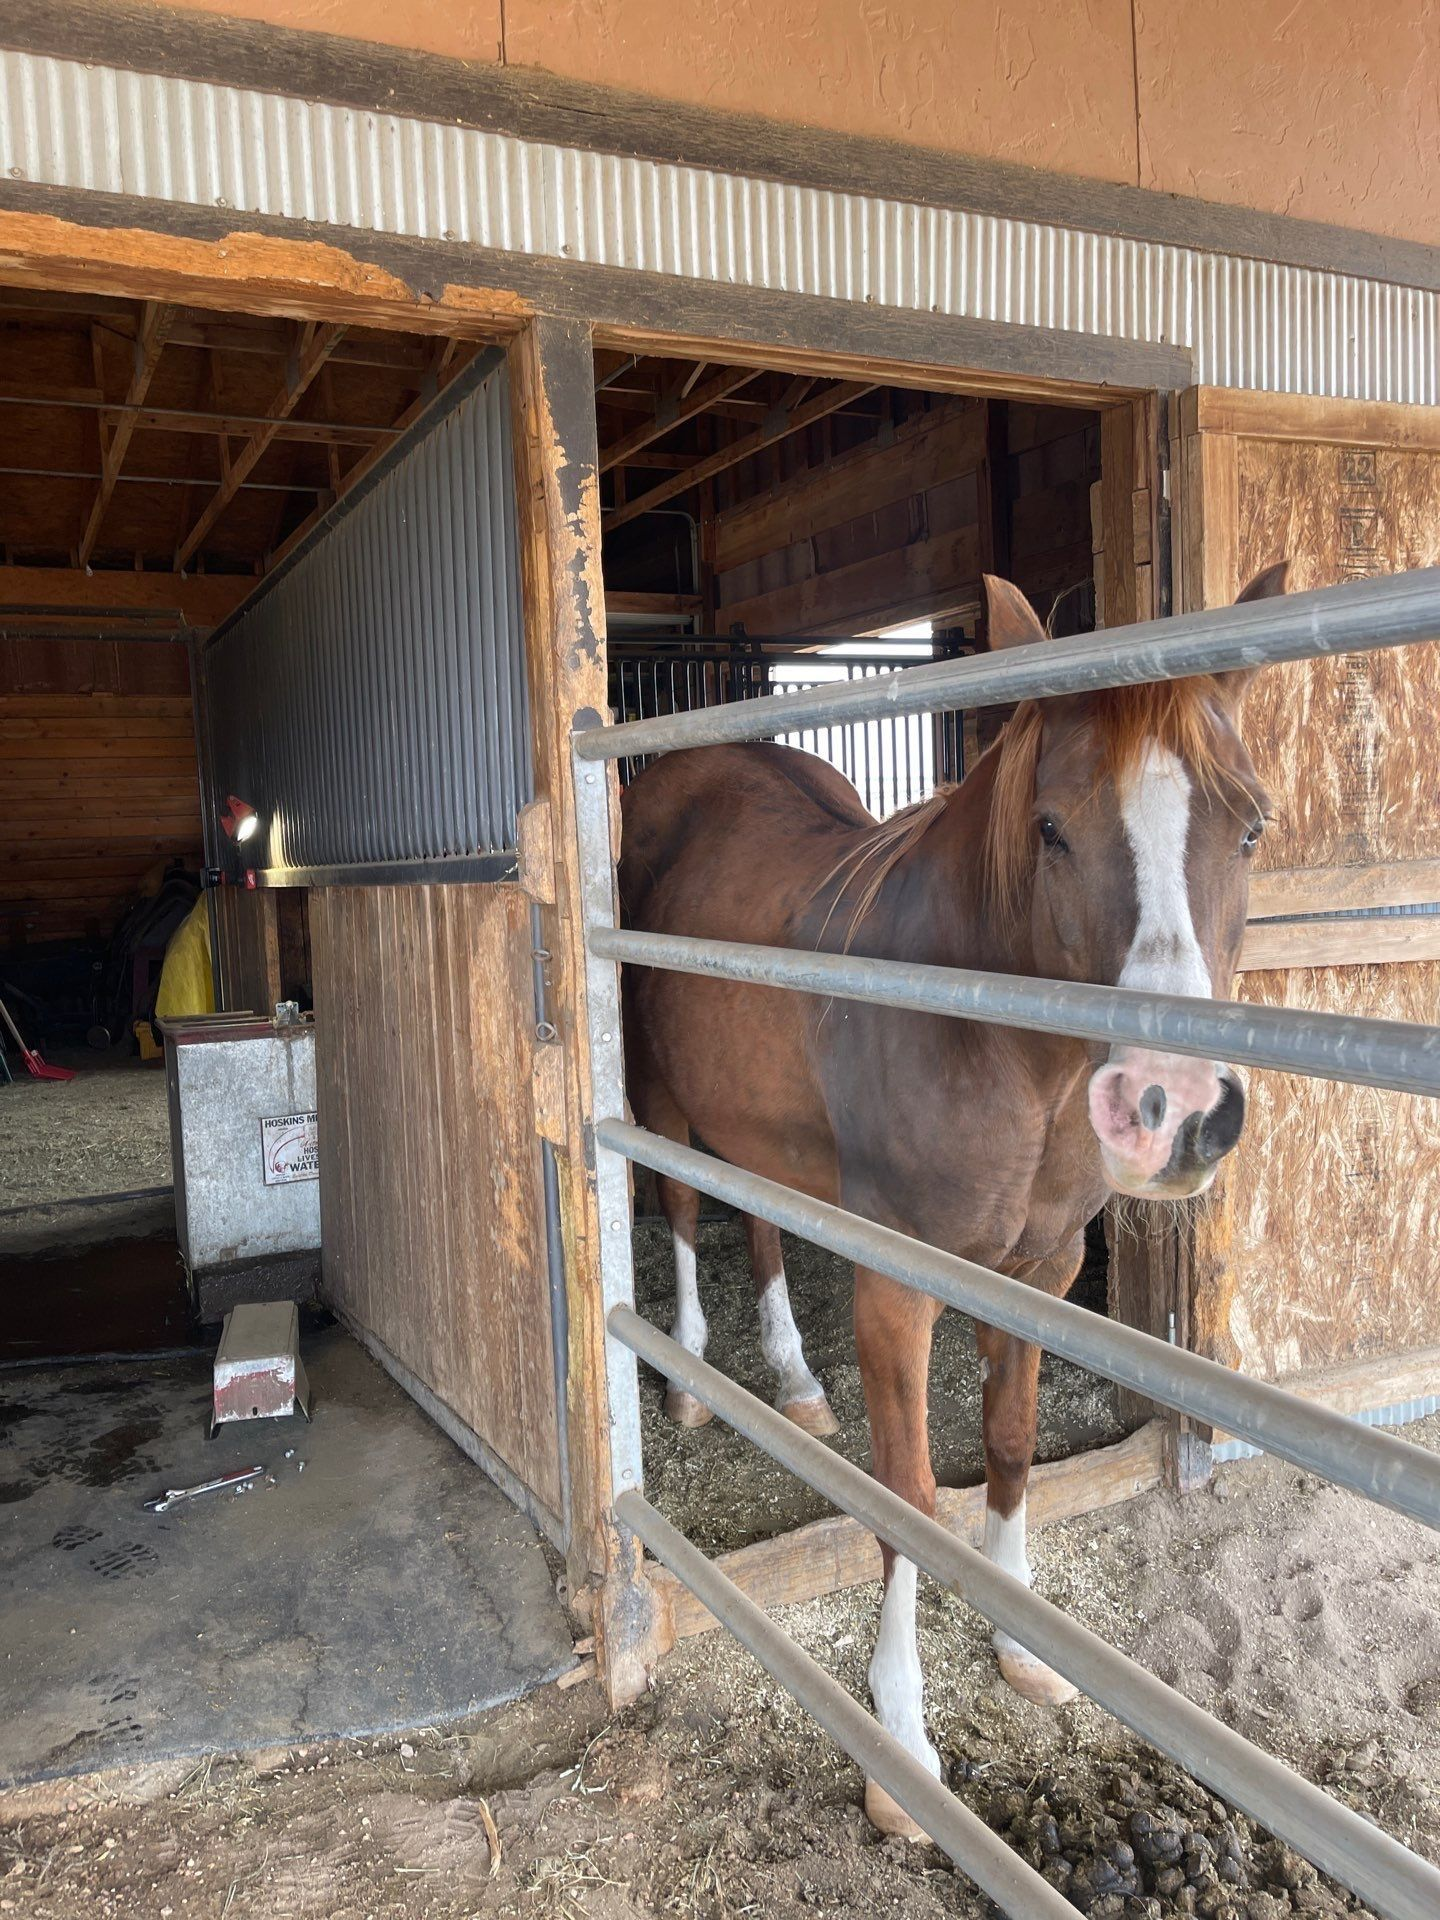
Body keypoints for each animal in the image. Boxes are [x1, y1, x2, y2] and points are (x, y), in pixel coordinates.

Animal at [617, 564, 1285, 1838]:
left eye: (1251, 822)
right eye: (1052, 828)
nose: (1173, 1109)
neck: (998, 1046)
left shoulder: (1042, 1274)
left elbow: (1011, 1446)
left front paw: (1021, 1644)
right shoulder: (897, 1285)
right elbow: (910, 1496)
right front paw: (899, 1751)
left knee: (762, 1221)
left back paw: (795, 1381)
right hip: (661, 1099)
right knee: (678, 1212)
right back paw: (686, 1375)